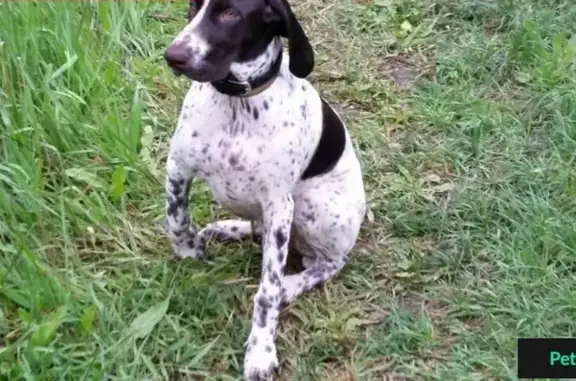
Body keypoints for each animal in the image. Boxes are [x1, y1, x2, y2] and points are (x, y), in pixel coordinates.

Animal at [162, 0, 366, 378]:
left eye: (230, 14)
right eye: (193, 6)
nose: (174, 56)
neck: (236, 104)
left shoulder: (279, 205)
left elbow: (267, 291)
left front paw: (260, 351)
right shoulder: (178, 168)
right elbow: (176, 219)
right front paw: (190, 253)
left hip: (315, 208)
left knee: (329, 263)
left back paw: (292, 284)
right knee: (256, 227)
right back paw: (228, 229)